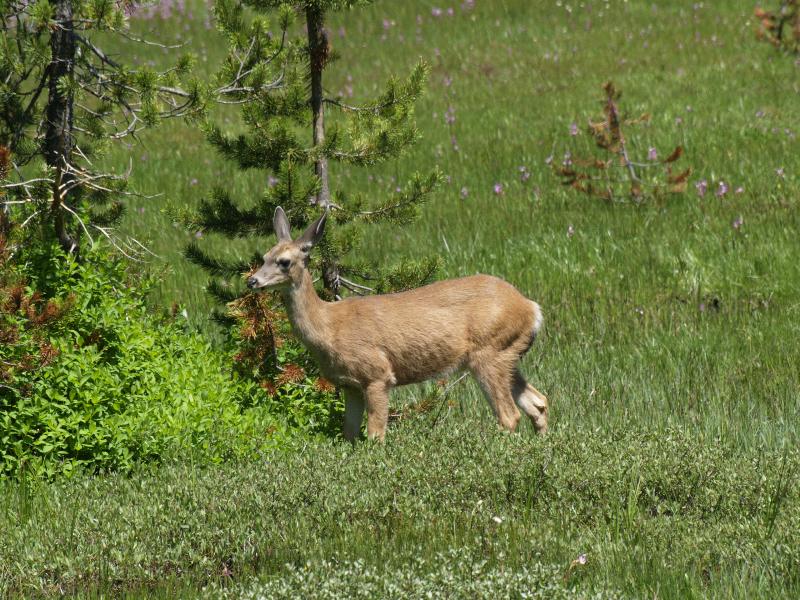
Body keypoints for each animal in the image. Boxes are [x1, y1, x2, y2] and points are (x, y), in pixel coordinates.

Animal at [246, 207, 548, 441]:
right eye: (264, 257)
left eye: (284, 261)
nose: (252, 281)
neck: (329, 326)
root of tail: (532, 308)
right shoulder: (350, 384)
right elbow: (349, 434)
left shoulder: (377, 374)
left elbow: (375, 434)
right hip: (508, 353)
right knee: (538, 403)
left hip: (489, 352)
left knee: (510, 415)